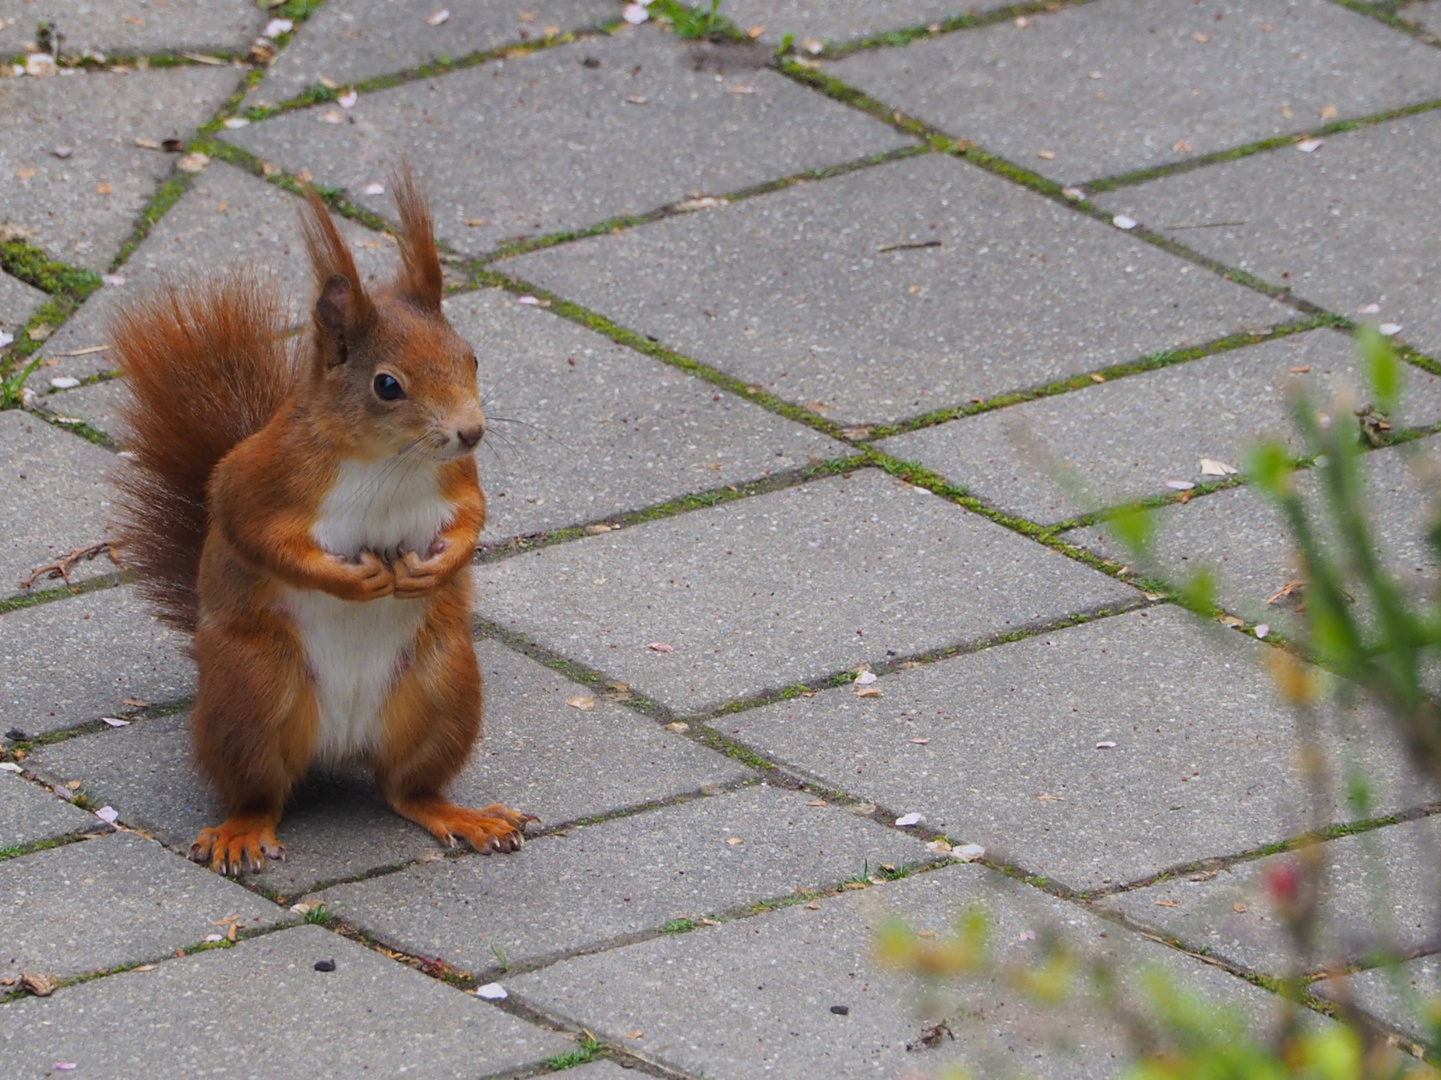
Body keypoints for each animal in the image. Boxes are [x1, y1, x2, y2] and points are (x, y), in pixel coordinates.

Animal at [108, 170, 536, 876]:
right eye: (387, 385)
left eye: (470, 357)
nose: (471, 432)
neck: (387, 462)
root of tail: (338, 744)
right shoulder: (259, 478)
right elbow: (255, 533)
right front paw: (353, 581)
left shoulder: (458, 481)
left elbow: (474, 519)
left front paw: (436, 567)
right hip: (253, 689)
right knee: (260, 791)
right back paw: (242, 831)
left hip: (445, 687)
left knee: (406, 789)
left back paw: (462, 816)